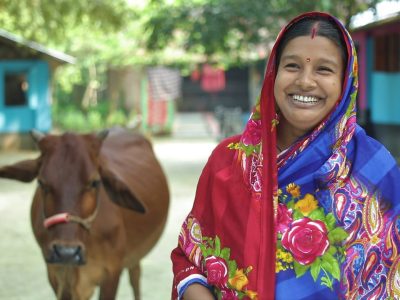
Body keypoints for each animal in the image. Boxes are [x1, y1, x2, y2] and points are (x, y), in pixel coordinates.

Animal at [0, 129, 169, 300]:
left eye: (94, 182)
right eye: (41, 183)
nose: (66, 253)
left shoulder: (112, 272)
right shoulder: (56, 274)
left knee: (135, 277)